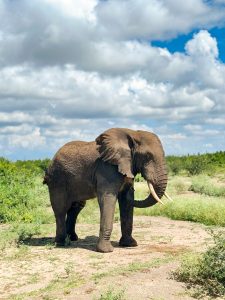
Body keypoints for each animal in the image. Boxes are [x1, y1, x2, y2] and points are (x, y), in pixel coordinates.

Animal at [43, 127, 171, 252]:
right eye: (148, 156)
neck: (132, 133)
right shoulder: (107, 169)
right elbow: (108, 198)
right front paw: (106, 250)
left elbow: (126, 199)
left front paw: (130, 244)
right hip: (57, 180)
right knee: (61, 209)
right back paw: (61, 243)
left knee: (76, 207)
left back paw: (72, 238)